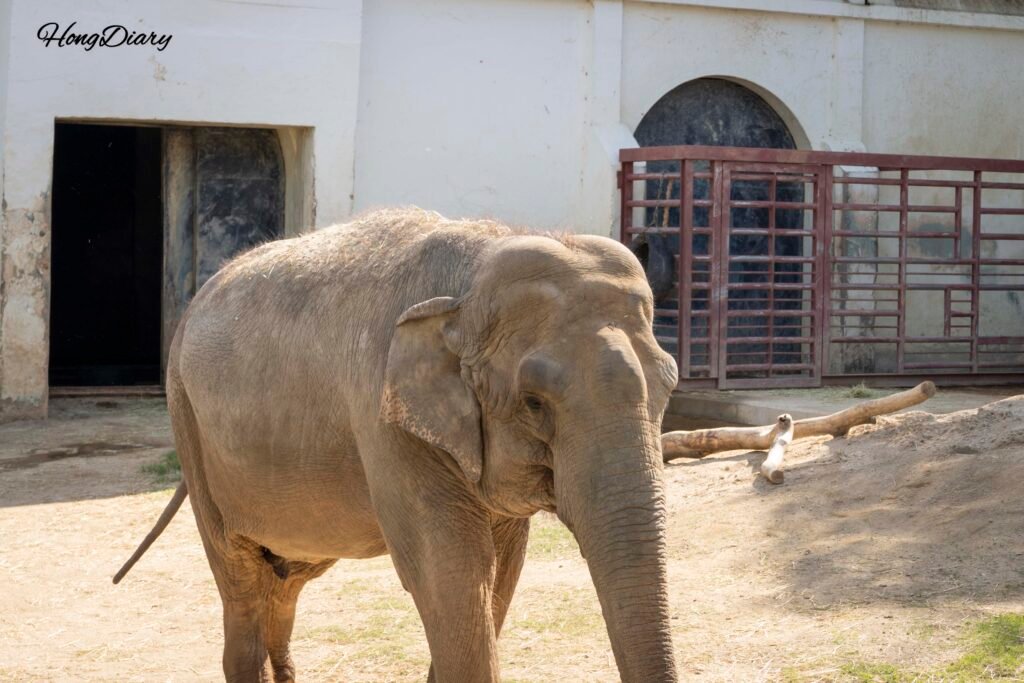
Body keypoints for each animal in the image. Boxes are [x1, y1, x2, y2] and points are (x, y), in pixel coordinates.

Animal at [114, 207, 680, 682]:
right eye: (535, 402)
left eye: (670, 386)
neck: (473, 273)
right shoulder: (385, 422)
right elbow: (450, 576)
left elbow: (501, 573)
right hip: (187, 422)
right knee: (242, 582)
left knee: (286, 580)